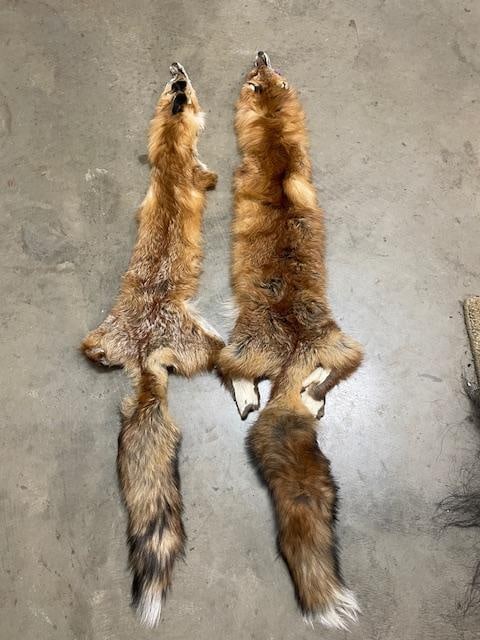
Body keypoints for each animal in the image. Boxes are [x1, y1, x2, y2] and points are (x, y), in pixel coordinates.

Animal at [81, 63, 224, 627]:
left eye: (172, 85)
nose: (178, 73)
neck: (168, 162)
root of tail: (143, 357)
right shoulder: (202, 174)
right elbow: (211, 177)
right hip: (206, 336)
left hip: (97, 339)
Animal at [217, 52, 363, 629]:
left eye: (260, 76)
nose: (260, 52)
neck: (276, 144)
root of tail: (293, 354)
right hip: (341, 343)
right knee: (340, 370)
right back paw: (314, 395)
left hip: (239, 344)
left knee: (228, 370)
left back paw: (251, 395)